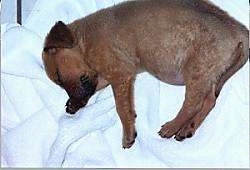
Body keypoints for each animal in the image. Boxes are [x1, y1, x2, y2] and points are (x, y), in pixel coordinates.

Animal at [42, 0, 249, 149]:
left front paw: (128, 135)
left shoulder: (119, 73)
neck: (84, 41)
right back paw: (187, 129)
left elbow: (122, 109)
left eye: (59, 76)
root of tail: (240, 31)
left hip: (197, 70)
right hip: (210, 72)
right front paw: (74, 104)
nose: (74, 99)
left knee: (193, 104)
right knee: (210, 100)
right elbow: (95, 87)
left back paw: (172, 127)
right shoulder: (106, 74)